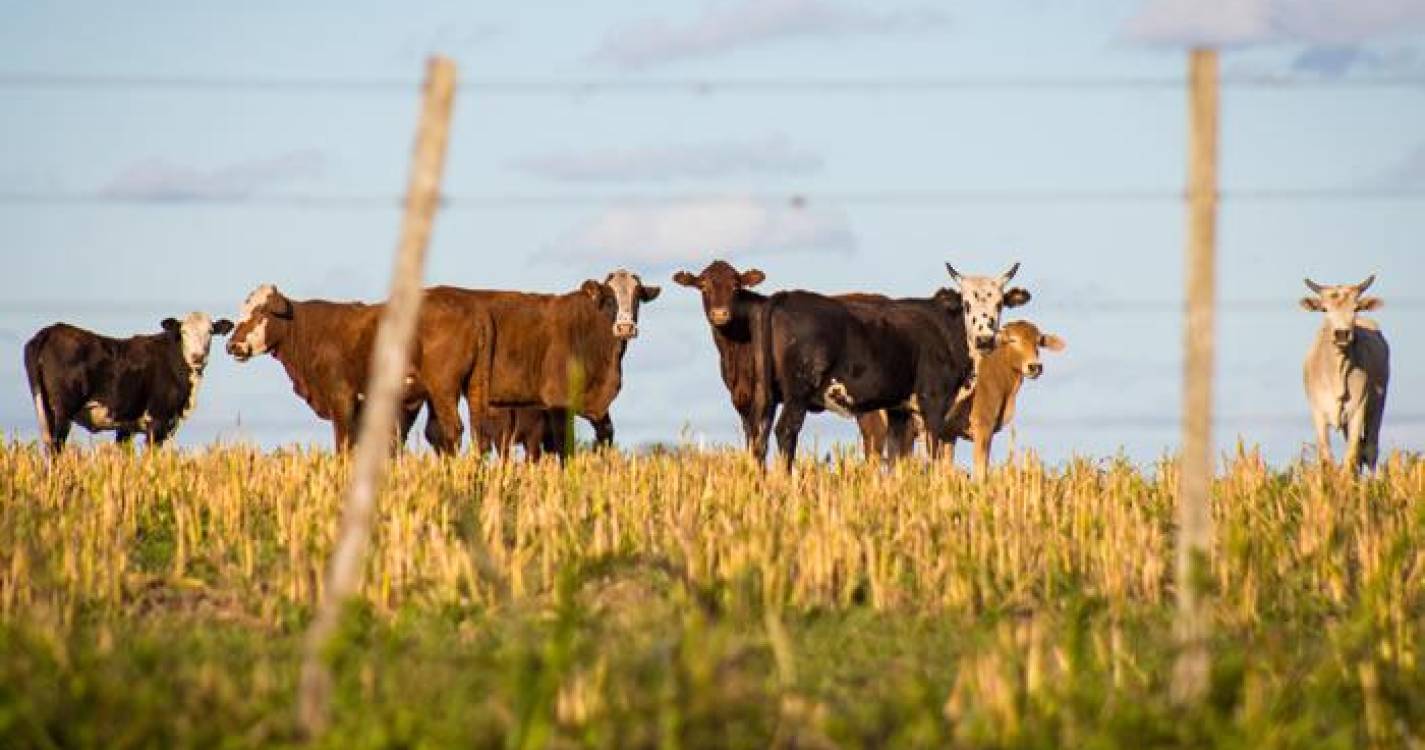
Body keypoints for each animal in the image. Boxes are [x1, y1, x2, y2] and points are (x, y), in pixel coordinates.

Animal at [23, 312, 233, 453]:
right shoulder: (159, 420)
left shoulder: (126, 428)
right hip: (63, 410)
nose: (198, 356)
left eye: (210, 332)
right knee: (56, 448)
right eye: (184, 332)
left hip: (43, 407)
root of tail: (50, 330)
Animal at [413, 270, 655, 459]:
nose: (625, 327)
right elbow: (564, 448)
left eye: (637, 298)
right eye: (610, 299)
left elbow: (606, 436)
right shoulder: (559, 403)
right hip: (444, 388)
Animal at [940, 320, 1065, 479]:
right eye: (1012, 340)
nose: (1034, 366)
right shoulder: (983, 427)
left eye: (1038, 342)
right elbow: (980, 471)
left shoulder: (950, 433)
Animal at [1305, 276, 1390, 473]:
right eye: (1324, 309)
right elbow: (1326, 457)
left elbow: (1352, 454)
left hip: (1377, 406)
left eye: (1356, 308)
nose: (1342, 334)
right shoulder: (1318, 414)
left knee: (1370, 449)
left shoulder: (1358, 411)